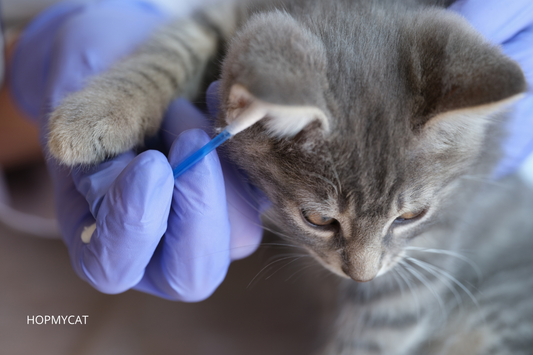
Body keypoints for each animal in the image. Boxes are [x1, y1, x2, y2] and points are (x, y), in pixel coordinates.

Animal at [47, 0, 528, 354]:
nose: (360, 276)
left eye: (410, 216)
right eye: (319, 220)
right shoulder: (230, 16)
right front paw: (93, 113)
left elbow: (376, 331)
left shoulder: (424, 258)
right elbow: (176, 45)